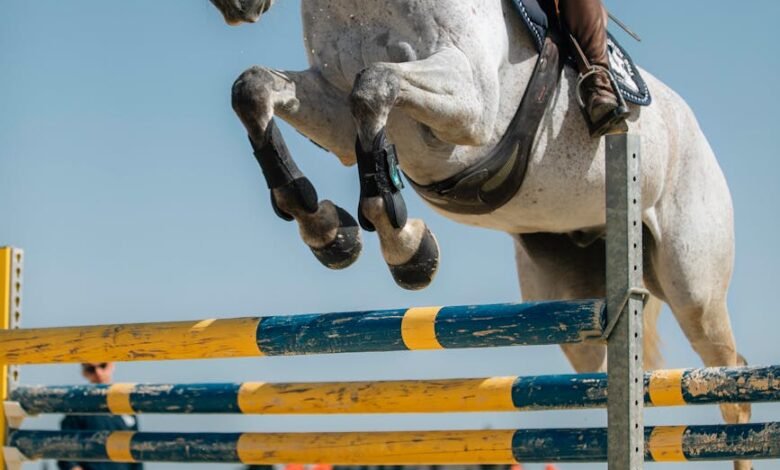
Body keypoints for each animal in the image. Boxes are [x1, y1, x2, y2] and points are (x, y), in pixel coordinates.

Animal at [209, 2, 748, 466]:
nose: (236, 8)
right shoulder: (336, 114)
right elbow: (254, 89)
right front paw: (329, 229)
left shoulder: (469, 106)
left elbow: (374, 84)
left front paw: (404, 246)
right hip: (575, 306)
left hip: (693, 288)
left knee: (729, 378)